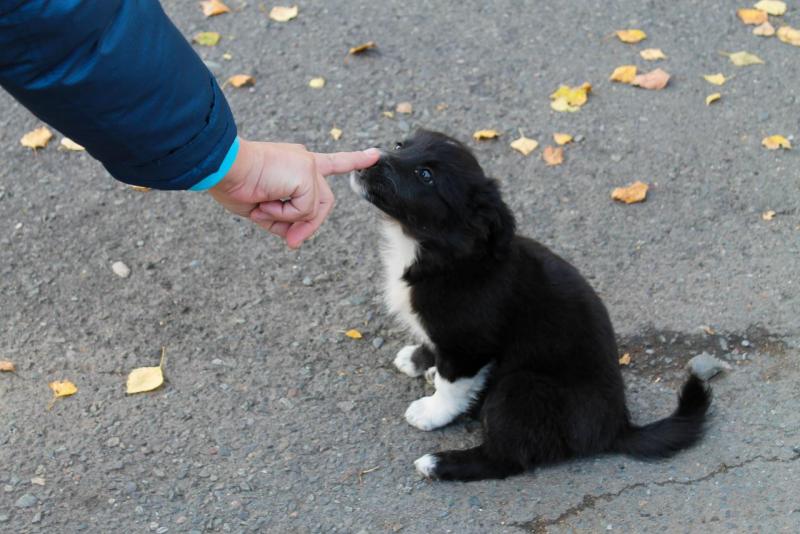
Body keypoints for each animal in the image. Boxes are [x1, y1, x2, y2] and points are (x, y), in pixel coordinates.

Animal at [346, 132, 708, 484]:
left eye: (426, 175)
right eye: (400, 145)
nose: (367, 160)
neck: (438, 252)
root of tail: (616, 427)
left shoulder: (469, 345)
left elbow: (452, 385)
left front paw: (431, 412)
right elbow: (434, 348)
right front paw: (418, 359)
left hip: (520, 387)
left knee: (507, 458)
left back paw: (439, 464)